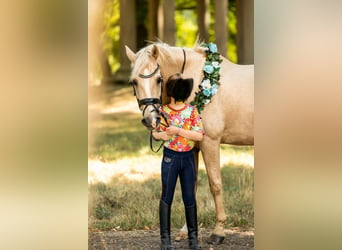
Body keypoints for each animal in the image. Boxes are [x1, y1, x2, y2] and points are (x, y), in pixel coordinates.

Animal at [125, 41, 254, 244]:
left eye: (158, 80)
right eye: (134, 82)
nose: (150, 120)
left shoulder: (210, 142)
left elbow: (215, 184)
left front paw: (218, 232)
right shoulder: (193, 149)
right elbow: (190, 186)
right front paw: (186, 230)